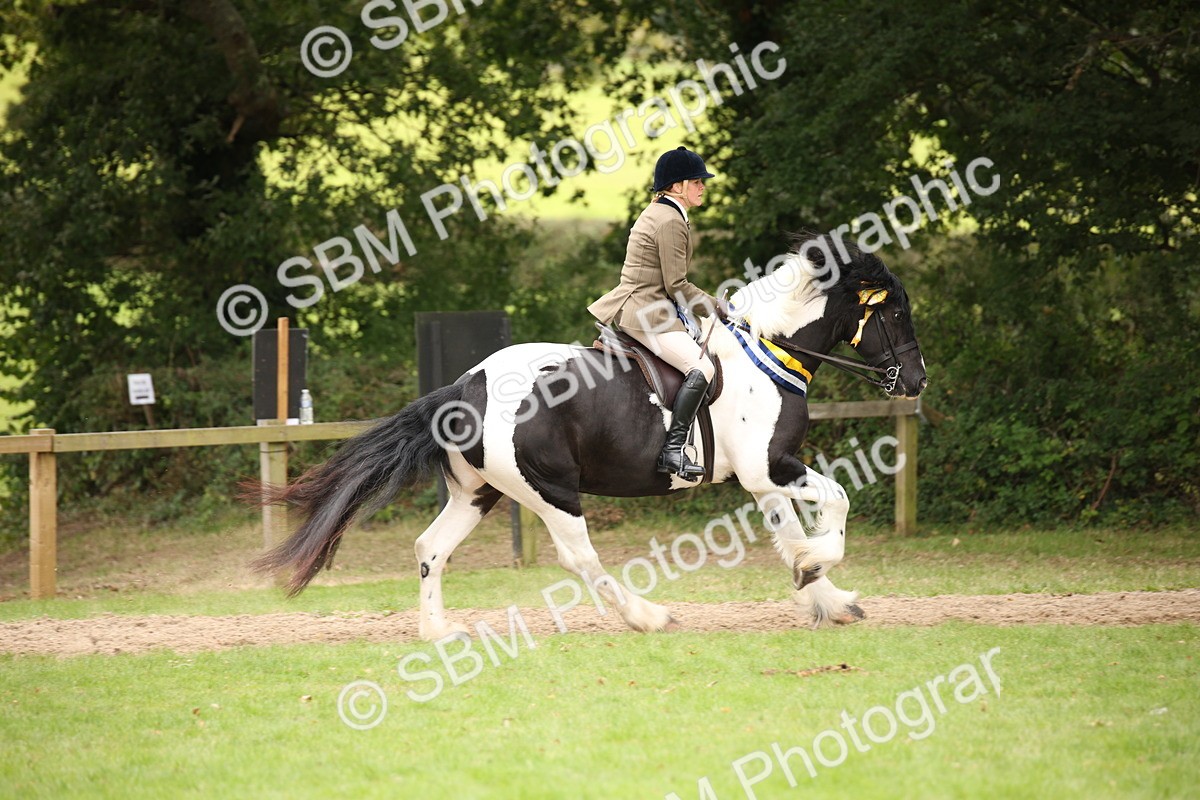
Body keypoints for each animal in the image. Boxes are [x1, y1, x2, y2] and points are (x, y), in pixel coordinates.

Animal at [252, 237, 927, 640]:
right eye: (896, 314)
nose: (917, 381)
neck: (769, 351)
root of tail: (463, 387)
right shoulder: (771, 467)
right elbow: (835, 503)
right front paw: (820, 566)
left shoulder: (762, 480)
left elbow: (791, 534)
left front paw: (825, 597)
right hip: (550, 489)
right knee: (579, 557)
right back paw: (646, 616)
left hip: (479, 493)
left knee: (430, 547)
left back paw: (439, 632)